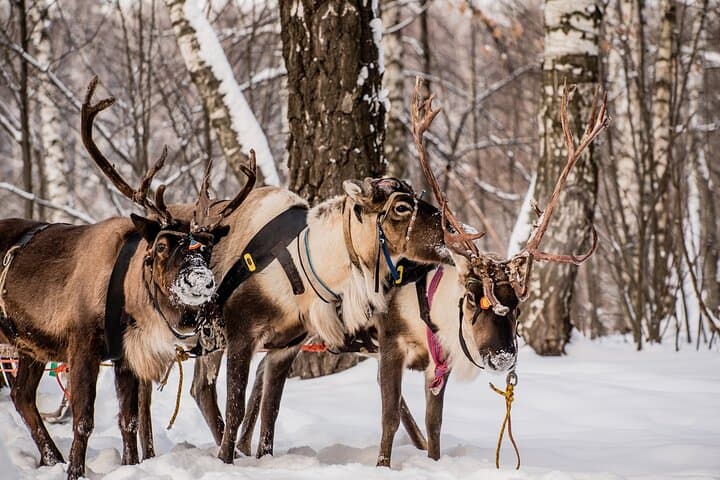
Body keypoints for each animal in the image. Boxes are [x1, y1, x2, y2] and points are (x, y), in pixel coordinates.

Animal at [0, 77, 255, 480]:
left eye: (208, 247)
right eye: (163, 245)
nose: (201, 281)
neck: (130, 293)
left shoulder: (123, 357)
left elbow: (129, 421)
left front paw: (129, 464)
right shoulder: (82, 344)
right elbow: (84, 420)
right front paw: (76, 471)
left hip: (28, 346)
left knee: (22, 396)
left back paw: (51, 458)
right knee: (24, 397)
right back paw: (57, 461)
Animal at [235, 79, 608, 468]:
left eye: (518, 305)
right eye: (473, 297)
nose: (504, 355)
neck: (427, 309)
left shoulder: (438, 363)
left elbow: (434, 423)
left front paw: (433, 460)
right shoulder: (390, 344)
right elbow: (389, 417)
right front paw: (383, 466)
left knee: (262, 372)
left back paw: (244, 446)